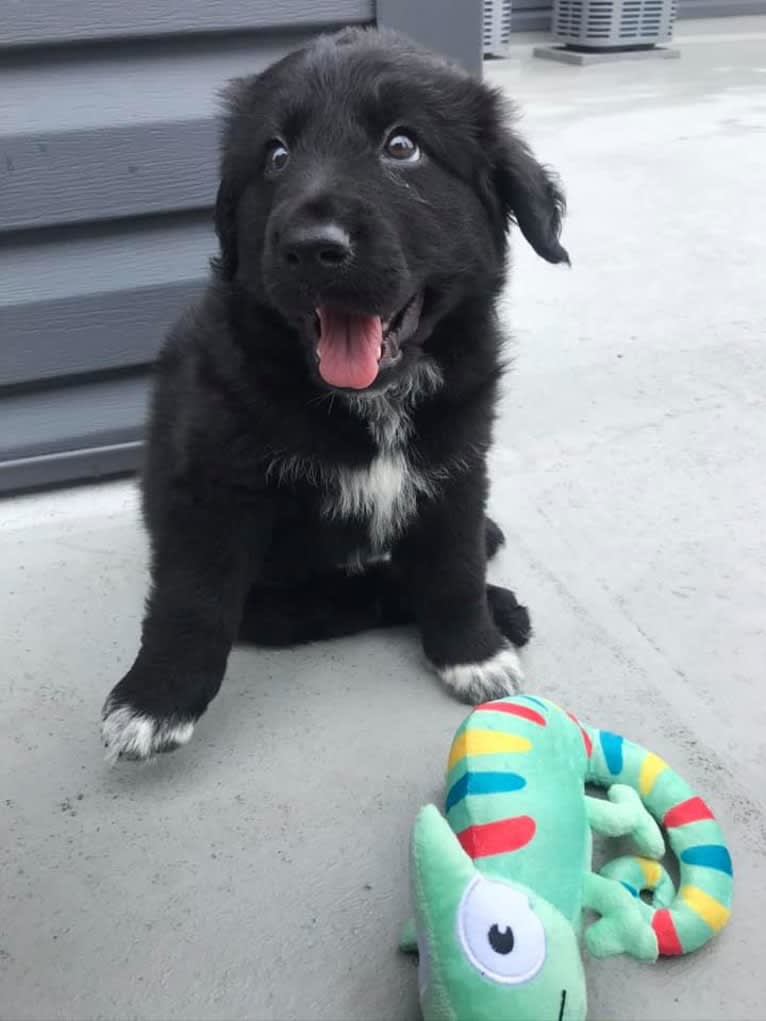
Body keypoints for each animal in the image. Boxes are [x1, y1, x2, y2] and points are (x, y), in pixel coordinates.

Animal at [103, 23, 571, 763]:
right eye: (275, 155)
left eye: (402, 146)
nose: (310, 247)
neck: (372, 402)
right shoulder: (211, 486)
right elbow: (194, 596)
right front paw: (154, 699)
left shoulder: (456, 463)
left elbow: (453, 561)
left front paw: (471, 649)